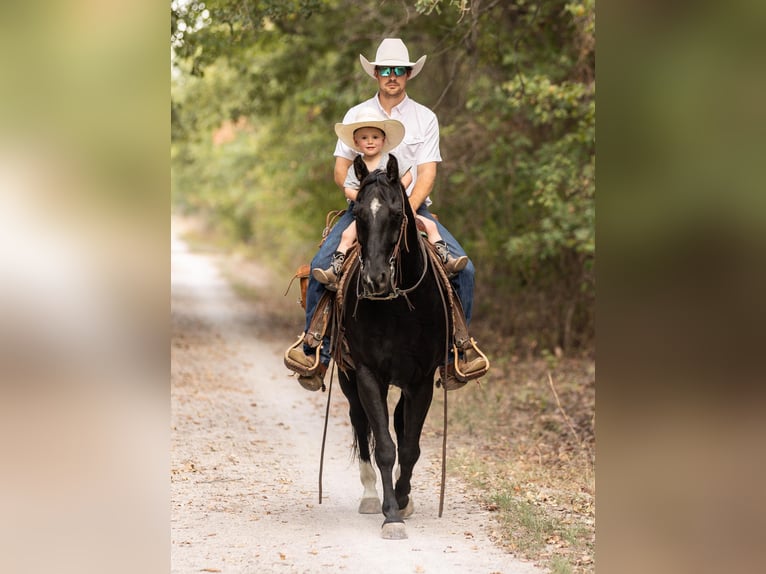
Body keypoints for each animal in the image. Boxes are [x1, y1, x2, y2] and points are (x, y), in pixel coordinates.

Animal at [336, 153, 450, 540]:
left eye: (398, 213)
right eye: (358, 214)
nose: (375, 280)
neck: (398, 306)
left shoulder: (421, 380)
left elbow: (410, 446)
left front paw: (402, 500)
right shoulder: (369, 374)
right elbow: (385, 446)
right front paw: (390, 514)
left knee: (399, 425)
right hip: (348, 379)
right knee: (360, 423)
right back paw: (371, 495)